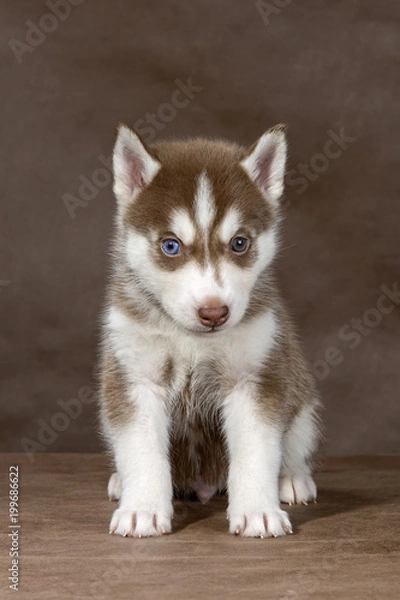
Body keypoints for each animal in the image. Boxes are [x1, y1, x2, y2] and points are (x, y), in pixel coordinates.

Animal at [99, 125, 322, 540]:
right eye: (171, 245)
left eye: (240, 243)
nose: (214, 312)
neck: (190, 338)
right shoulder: (137, 376)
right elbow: (142, 450)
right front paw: (141, 509)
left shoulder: (253, 378)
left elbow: (256, 450)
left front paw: (257, 511)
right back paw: (121, 481)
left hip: (302, 401)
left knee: (295, 440)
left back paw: (292, 478)